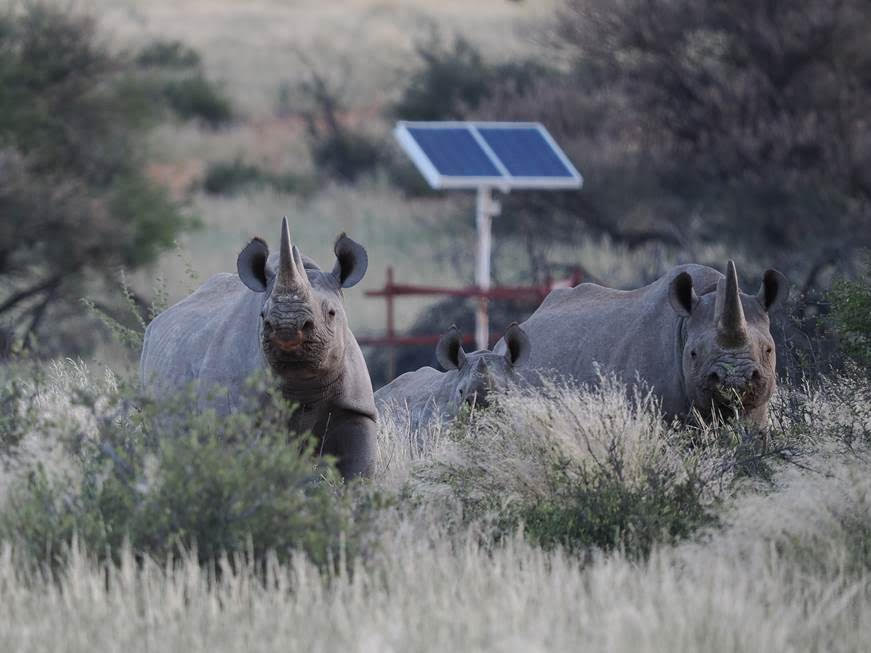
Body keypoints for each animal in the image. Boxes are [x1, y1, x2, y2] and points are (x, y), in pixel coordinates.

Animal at [141, 216, 376, 476]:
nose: (287, 329)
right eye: (263, 317)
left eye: (332, 313)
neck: (303, 383)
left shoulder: (357, 408)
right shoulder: (232, 418)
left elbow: (359, 468)